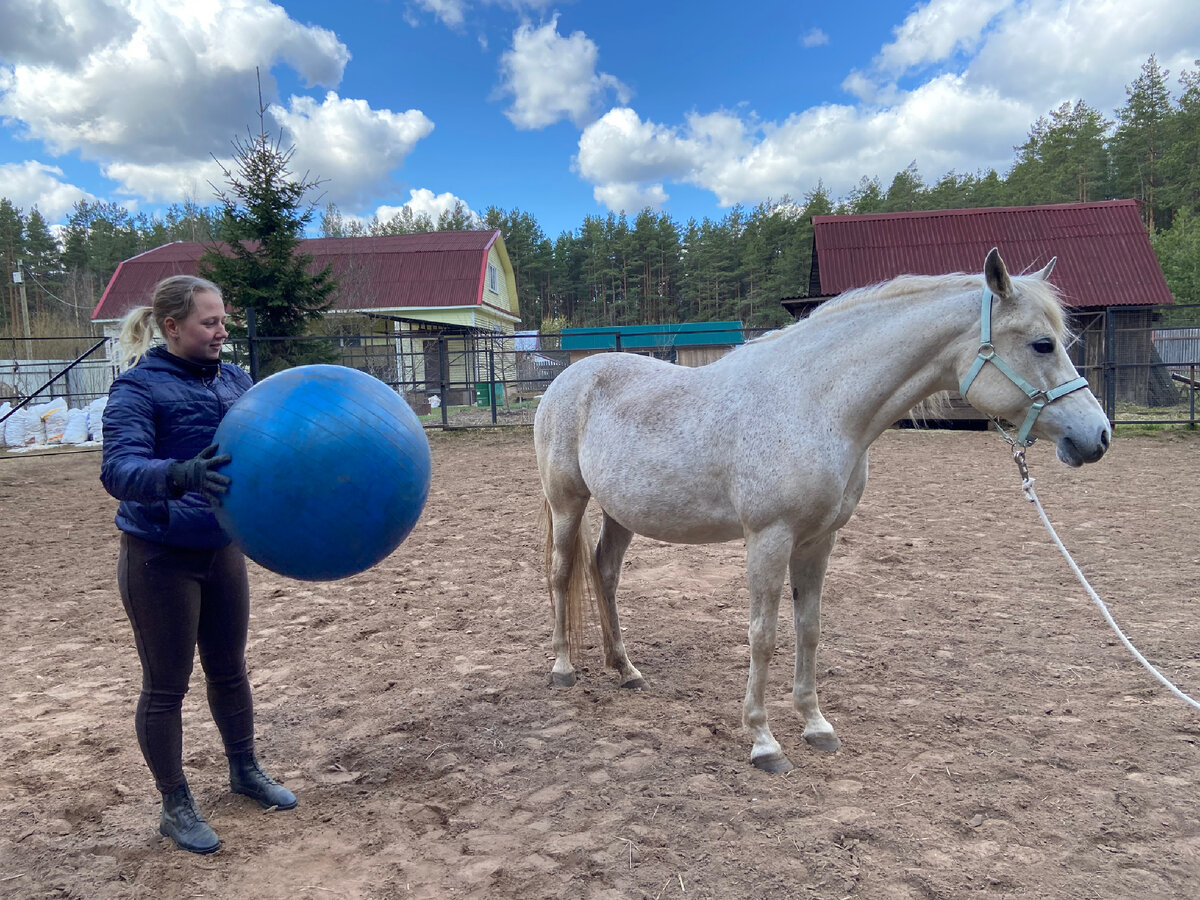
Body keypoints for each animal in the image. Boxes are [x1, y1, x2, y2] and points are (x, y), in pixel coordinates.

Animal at [535, 248, 1104, 777]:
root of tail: (567, 379)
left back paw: (625, 669)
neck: (815, 405)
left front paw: (815, 725)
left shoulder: (818, 539)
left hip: (620, 514)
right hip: (568, 502)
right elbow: (762, 634)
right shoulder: (769, 537)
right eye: (1042, 343)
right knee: (562, 573)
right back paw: (563, 668)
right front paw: (764, 741)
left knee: (605, 574)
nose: (1096, 436)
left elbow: (808, 627)